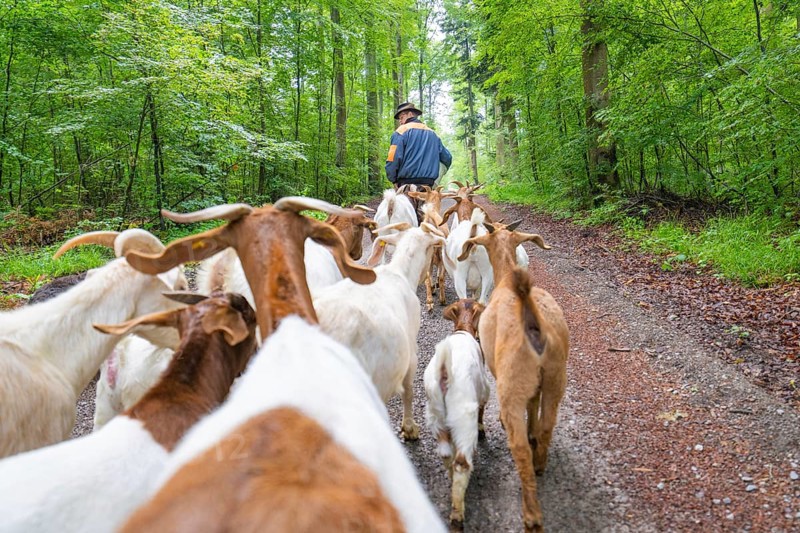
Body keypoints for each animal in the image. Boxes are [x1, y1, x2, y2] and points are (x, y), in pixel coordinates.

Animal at [424, 299, 489, 530]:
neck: (463, 329)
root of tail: (444, 373)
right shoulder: (484, 389)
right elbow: (482, 409)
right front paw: (483, 431)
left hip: (436, 416)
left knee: (445, 453)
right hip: (463, 418)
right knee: (461, 462)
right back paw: (457, 515)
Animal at [458, 224, 568, 533]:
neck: (506, 278)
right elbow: (534, 405)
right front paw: (532, 431)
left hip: (512, 382)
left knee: (518, 446)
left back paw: (531, 515)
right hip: (556, 376)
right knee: (547, 424)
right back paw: (540, 463)